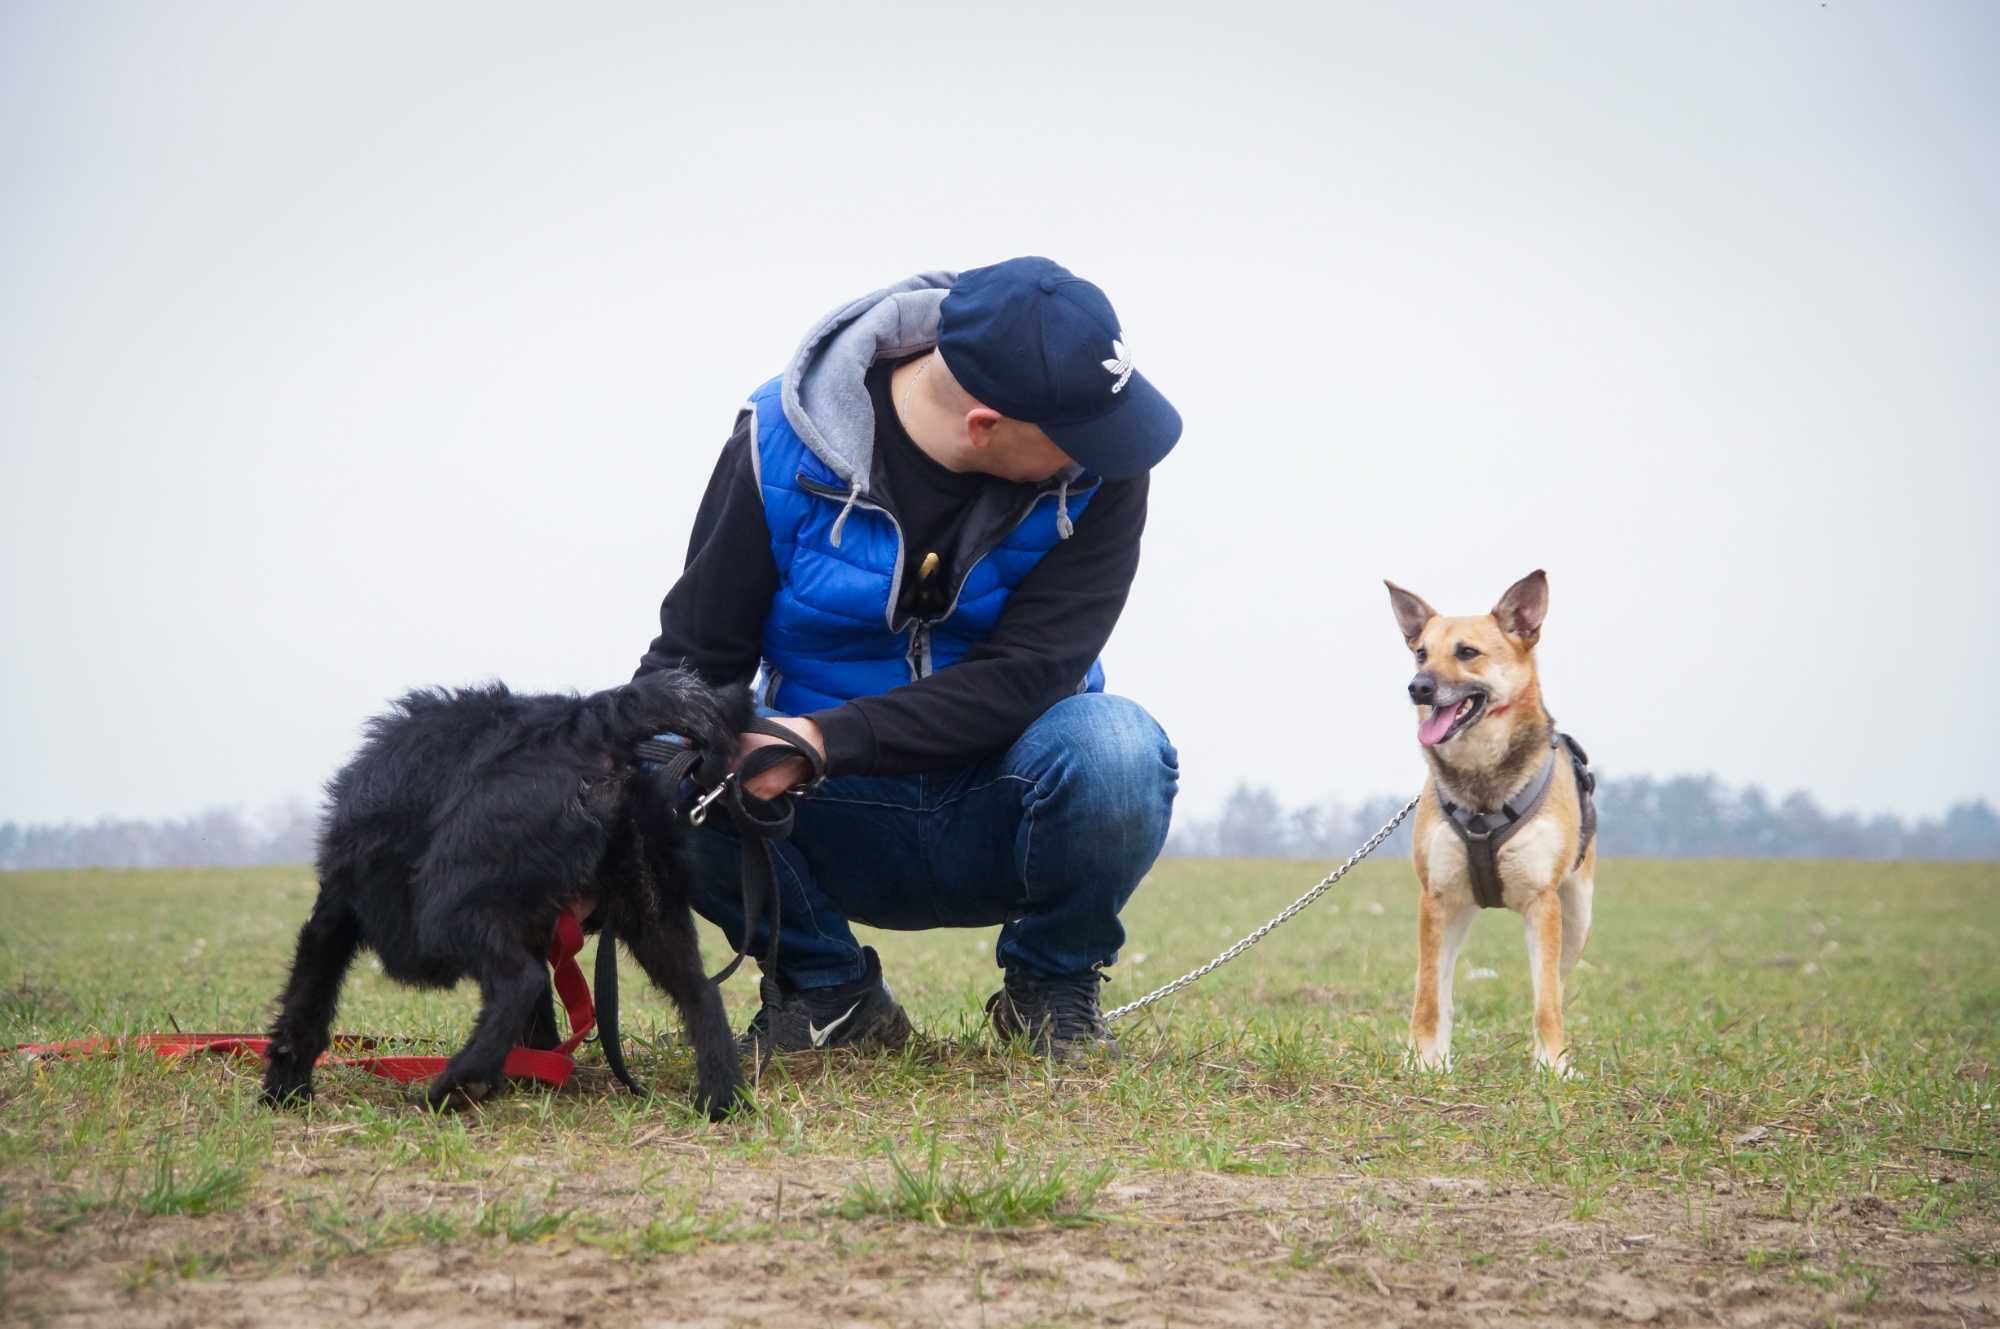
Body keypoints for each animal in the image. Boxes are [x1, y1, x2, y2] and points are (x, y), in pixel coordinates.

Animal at [262, 668, 752, 1112]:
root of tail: (587, 721)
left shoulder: (336, 910)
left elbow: (307, 999)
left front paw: (285, 1086)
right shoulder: (536, 930)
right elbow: (541, 1018)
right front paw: (536, 1071)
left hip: (446, 909)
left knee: (519, 982)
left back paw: (460, 1082)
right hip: (651, 913)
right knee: (702, 994)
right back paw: (721, 1098)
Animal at [1392, 564, 1592, 1072]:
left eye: (1467, 652)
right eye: (1421, 653)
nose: (1418, 687)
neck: (1482, 786)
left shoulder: (1543, 903)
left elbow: (1546, 1001)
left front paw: (1553, 1067)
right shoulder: (1436, 898)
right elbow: (1428, 997)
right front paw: (1423, 1063)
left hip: (1577, 916)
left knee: (1557, 984)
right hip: (1456, 912)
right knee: (1440, 989)